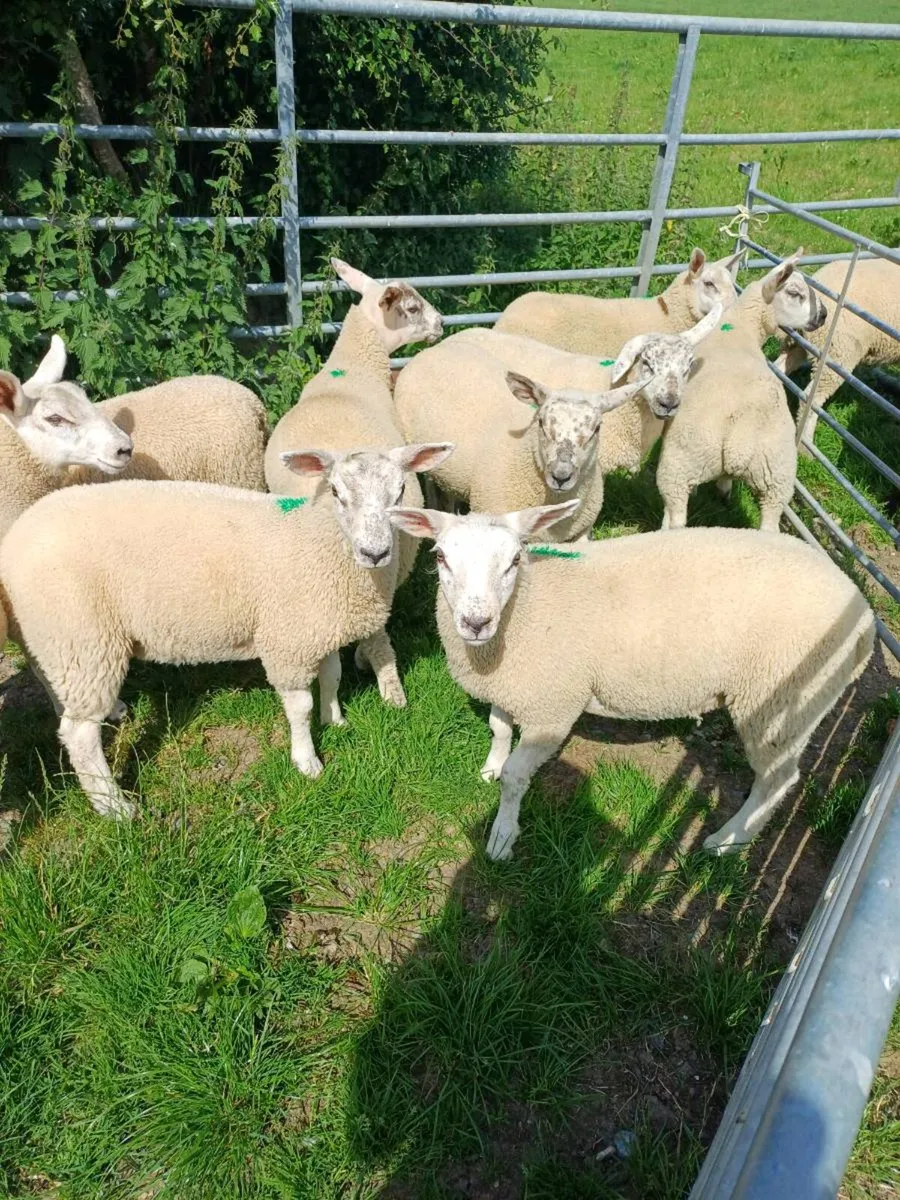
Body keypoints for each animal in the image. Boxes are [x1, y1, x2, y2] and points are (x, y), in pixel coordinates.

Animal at [0, 440, 453, 819]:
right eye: (338, 493)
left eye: (400, 492)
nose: (375, 553)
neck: (321, 542)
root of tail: (18, 536)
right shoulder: (287, 638)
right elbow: (300, 707)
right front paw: (307, 761)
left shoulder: (318, 626)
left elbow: (333, 677)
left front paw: (336, 719)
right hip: (81, 631)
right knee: (79, 735)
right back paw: (115, 807)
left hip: (55, 637)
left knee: (55, 689)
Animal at [388, 501, 874, 861]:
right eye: (440, 557)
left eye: (514, 560)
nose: (475, 623)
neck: (525, 610)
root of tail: (866, 618)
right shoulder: (511, 684)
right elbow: (498, 728)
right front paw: (490, 766)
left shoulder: (552, 707)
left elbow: (516, 779)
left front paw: (502, 836)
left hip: (780, 702)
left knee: (777, 781)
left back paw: (728, 840)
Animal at [655, 250, 828, 534]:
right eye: (794, 292)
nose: (823, 315)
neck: (741, 326)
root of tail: (740, 441)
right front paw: (725, 489)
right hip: (777, 478)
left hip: (680, 465)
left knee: (675, 516)